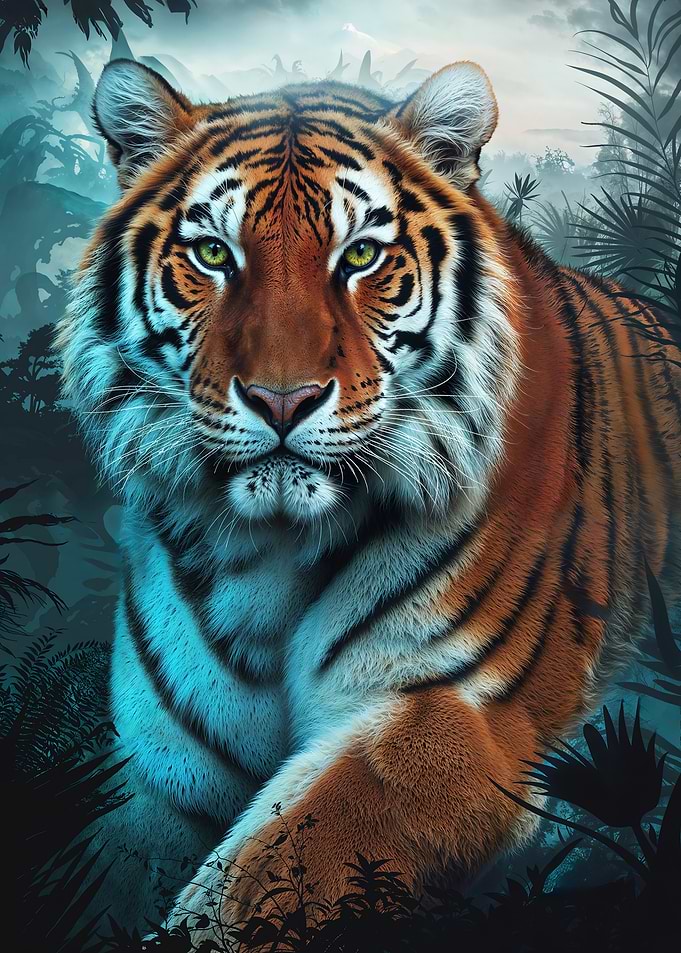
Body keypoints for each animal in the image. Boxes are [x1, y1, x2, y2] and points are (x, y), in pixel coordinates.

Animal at [56, 57, 681, 933]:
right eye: (213, 253)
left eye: (358, 258)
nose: (282, 399)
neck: (271, 552)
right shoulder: (162, 766)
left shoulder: (460, 712)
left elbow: (267, 870)